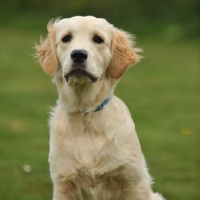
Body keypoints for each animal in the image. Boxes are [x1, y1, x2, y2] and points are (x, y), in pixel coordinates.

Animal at [34, 16, 166, 200]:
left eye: (98, 39)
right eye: (66, 38)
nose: (78, 54)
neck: (85, 114)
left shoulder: (133, 184)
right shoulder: (63, 184)